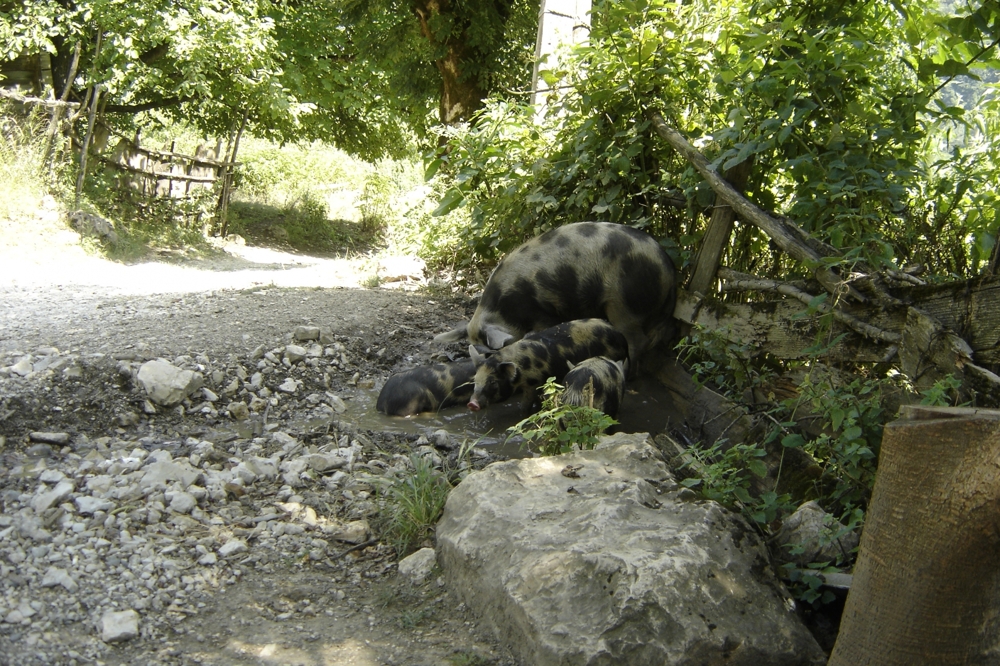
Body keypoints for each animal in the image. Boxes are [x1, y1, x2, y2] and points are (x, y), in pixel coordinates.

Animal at [434, 223, 676, 368]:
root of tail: (667, 264)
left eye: (493, 350)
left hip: (623, 302)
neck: (503, 307)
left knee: (638, 339)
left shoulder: (540, 311)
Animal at [466, 318, 624, 410]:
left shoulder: (533, 384)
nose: (472, 404)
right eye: (474, 380)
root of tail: (618, 333)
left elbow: (525, 405)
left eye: (492, 382)